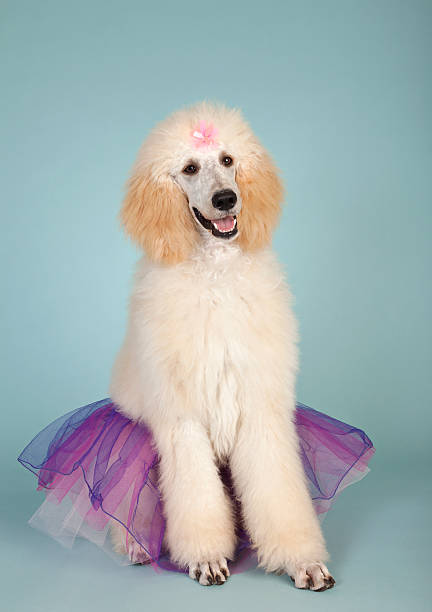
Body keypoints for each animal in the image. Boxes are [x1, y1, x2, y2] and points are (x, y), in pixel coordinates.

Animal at [108, 103, 334, 592]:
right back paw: (136, 545)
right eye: (190, 168)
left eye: (228, 160)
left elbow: (277, 491)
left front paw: (302, 560)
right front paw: (207, 558)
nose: (227, 199)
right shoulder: (182, 422)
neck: (215, 275)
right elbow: (196, 497)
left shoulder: (262, 410)